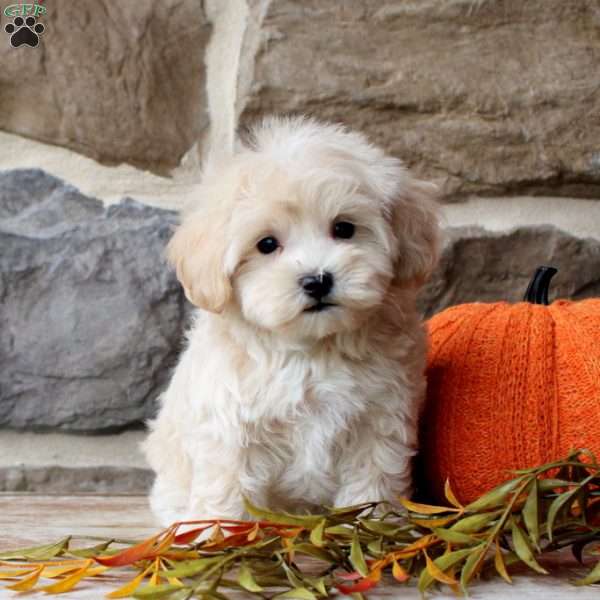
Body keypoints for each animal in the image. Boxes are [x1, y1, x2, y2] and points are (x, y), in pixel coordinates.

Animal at [142, 116, 440, 524]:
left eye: (344, 228)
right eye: (267, 244)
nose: (317, 281)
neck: (313, 349)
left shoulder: (380, 419)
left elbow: (372, 481)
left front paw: (371, 525)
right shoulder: (231, 428)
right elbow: (227, 492)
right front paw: (221, 534)